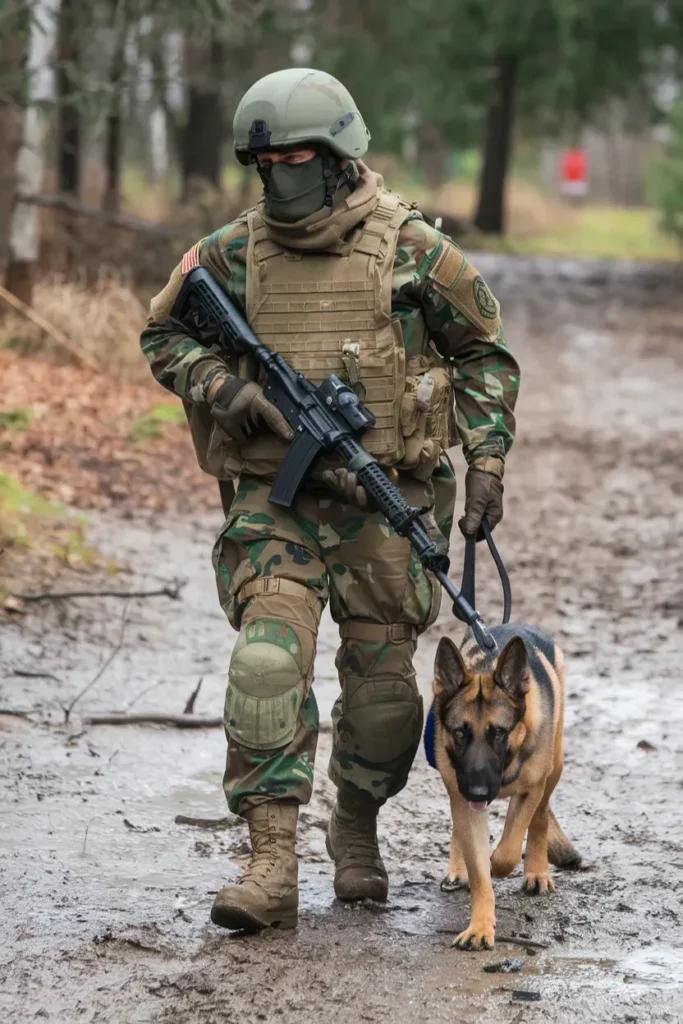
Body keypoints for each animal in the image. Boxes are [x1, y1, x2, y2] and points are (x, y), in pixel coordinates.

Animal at [432, 622, 581, 950]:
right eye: (460, 733)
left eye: (498, 733)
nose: (477, 792)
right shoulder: (463, 799)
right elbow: (478, 870)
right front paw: (479, 928)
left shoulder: (529, 791)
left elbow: (507, 853)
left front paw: (498, 865)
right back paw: (458, 869)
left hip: (554, 769)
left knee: (540, 818)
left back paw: (537, 871)